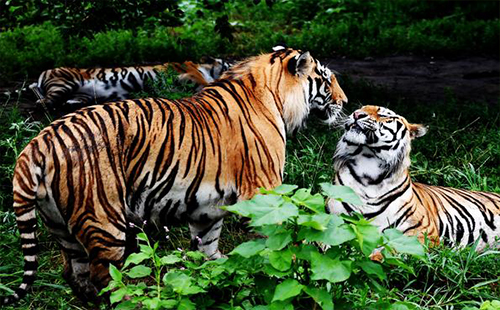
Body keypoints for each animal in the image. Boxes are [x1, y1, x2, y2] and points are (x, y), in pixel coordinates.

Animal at [27, 57, 230, 112]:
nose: (234, 60)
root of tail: (43, 73)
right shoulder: (191, 75)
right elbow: (206, 83)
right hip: (64, 82)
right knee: (43, 101)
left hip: (80, 93)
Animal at [328, 105, 500, 251]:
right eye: (360, 108)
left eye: (383, 115)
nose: (356, 114)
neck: (368, 168)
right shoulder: (333, 220)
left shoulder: (422, 231)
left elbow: (392, 252)